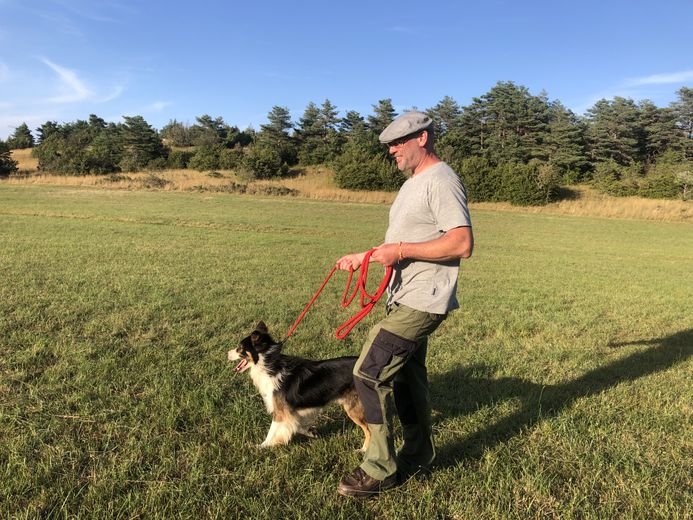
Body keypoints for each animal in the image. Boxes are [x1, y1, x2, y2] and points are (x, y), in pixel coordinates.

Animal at [227, 320, 370, 450]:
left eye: (240, 348)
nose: (226, 353)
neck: (269, 365)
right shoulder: (293, 412)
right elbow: (297, 425)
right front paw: (311, 432)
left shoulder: (280, 411)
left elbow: (272, 431)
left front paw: (262, 446)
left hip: (353, 409)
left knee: (369, 431)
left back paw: (363, 450)